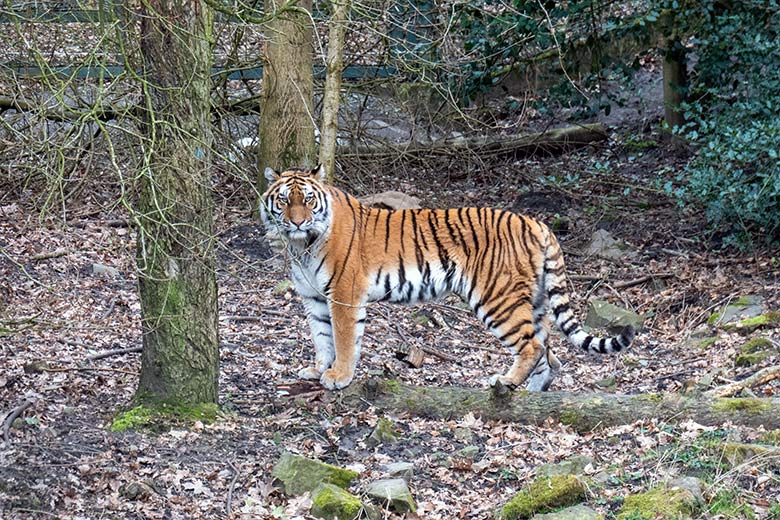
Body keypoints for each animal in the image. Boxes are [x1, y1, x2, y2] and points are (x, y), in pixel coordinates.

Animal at [258, 166, 636, 390]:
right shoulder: (314, 298)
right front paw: (317, 369)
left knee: (533, 345)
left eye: (308, 200)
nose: (297, 221)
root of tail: (535, 221)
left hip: (496, 298)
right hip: (536, 300)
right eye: (284, 200)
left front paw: (339, 377)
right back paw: (529, 393)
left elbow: (343, 339)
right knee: (549, 351)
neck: (301, 246)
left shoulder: (344, 295)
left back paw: (505, 381)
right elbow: (321, 337)